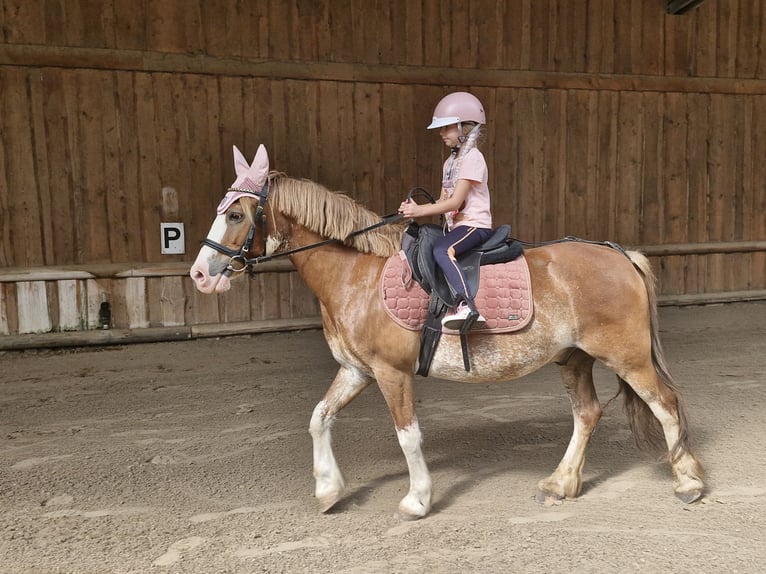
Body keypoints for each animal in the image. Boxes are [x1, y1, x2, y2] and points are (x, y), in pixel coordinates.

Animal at [192, 147, 708, 520]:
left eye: (236, 215)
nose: (199, 274)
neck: (356, 275)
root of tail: (619, 253)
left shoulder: (391, 373)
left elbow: (408, 436)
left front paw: (416, 501)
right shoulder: (356, 371)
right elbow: (320, 418)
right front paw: (328, 490)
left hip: (627, 356)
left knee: (664, 404)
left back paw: (689, 482)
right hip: (574, 358)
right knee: (588, 413)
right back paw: (561, 484)